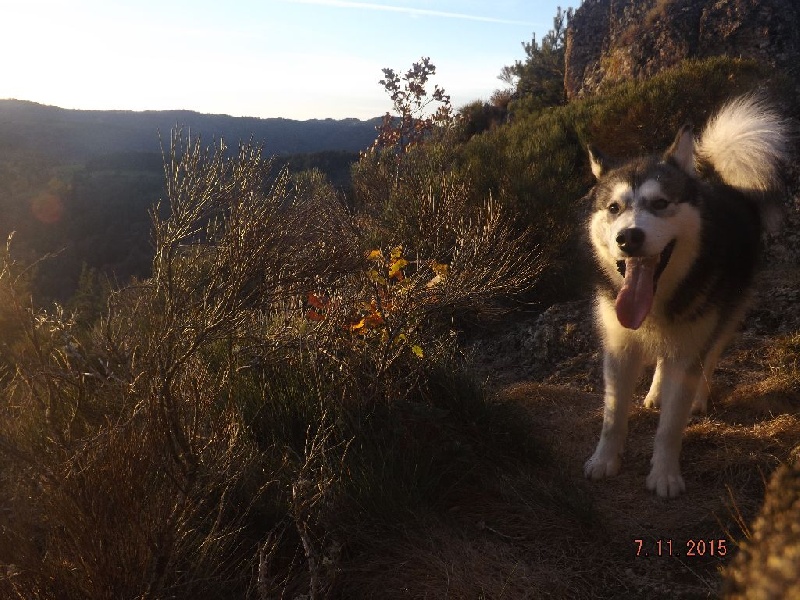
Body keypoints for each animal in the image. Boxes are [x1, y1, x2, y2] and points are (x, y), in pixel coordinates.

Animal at [584, 95, 792, 496]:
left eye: (661, 204)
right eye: (614, 208)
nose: (628, 238)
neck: (656, 302)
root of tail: (727, 187)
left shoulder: (691, 343)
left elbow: (670, 426)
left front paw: (664, 475)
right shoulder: (619, 348)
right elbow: (612, 416)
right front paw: (604, 461)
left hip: (724, 318)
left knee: (707, 359)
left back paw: (696, 397)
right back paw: (655, 392)